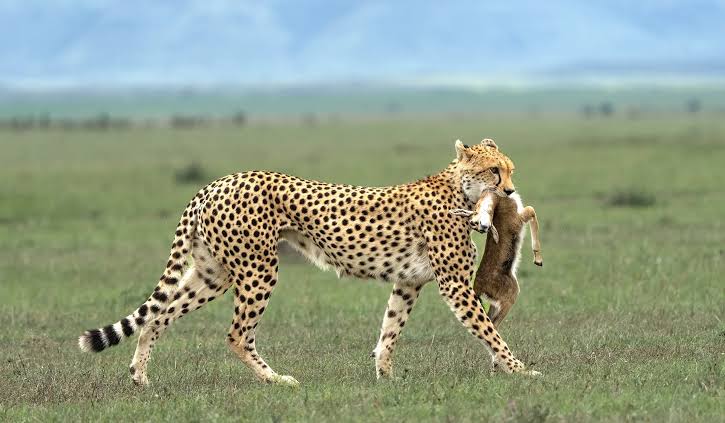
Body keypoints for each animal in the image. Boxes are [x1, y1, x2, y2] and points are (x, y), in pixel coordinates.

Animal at [78, 138, 540, 386]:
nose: (510, 191)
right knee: (236, 334)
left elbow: (390, 329)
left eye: (511, 169)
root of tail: (218, 181)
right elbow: (489, 332)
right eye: (494, 171)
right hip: (258, 269)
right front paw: (520, 370)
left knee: (159, 314)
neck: (459, 189)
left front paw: (385, 376)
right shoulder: (455, 285)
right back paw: (276, 380)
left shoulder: (408, 282)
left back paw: (139, 376)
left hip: (213, 273)